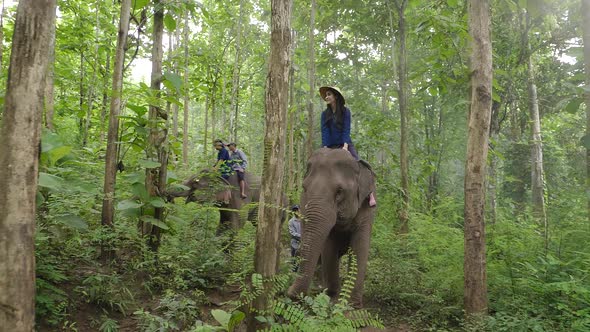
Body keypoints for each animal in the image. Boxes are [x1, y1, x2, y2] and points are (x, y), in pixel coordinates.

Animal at [288, 148, 380, 308]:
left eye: (339, 191)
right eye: (304, 188)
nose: (291, 294)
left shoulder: (367, 208)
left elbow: (360, 247)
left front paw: (352, 305)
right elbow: (329, 247)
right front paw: (331, 296)